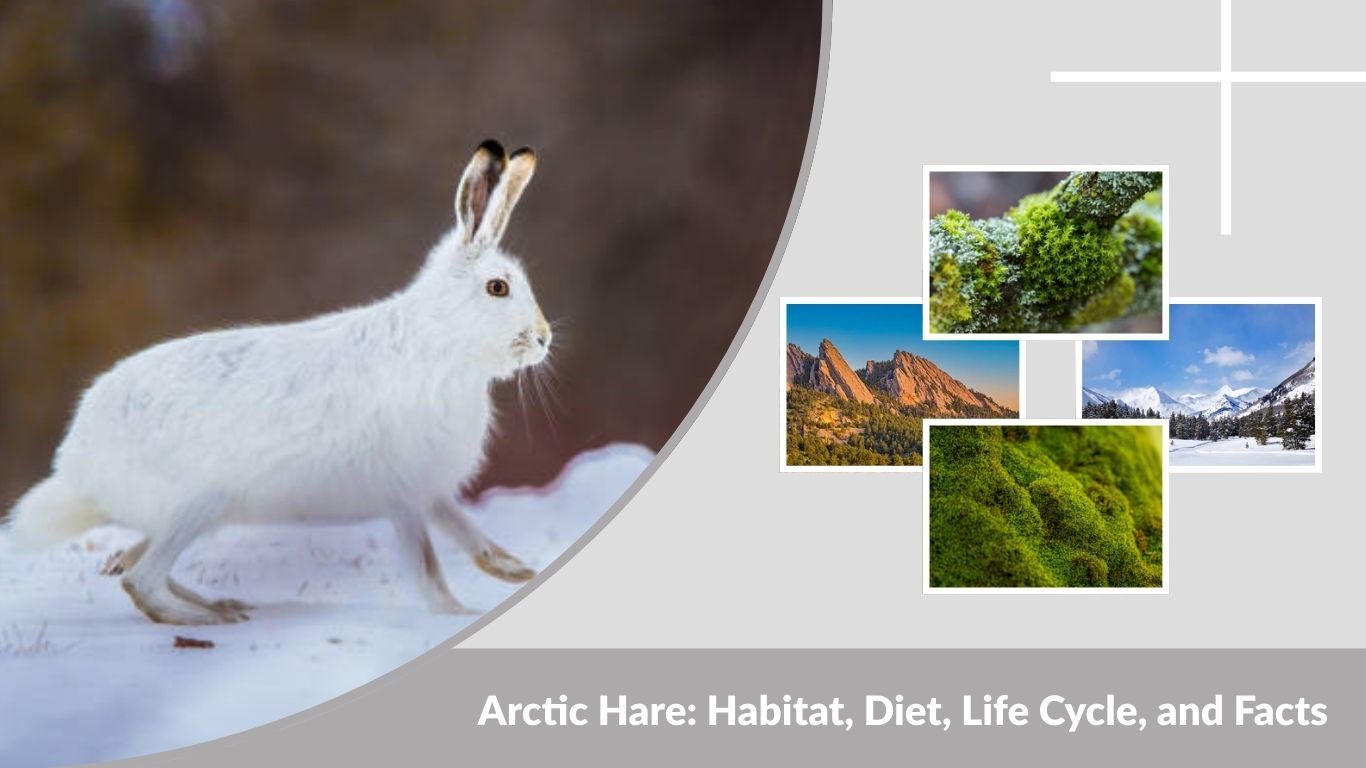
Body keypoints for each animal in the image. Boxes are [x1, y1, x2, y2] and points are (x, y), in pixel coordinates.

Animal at [5, 139, 550, 625]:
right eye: (497, 288)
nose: (545, 338)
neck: (443, 341)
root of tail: (77, 465)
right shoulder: (405, 497)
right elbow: (428, 570)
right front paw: (457, 614)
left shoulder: (430, 494)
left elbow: (471, 537)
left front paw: (517, 572)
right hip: (199, 503)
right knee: (142, 581)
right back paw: (208, 619)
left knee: (136, 566)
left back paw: (220, 604)